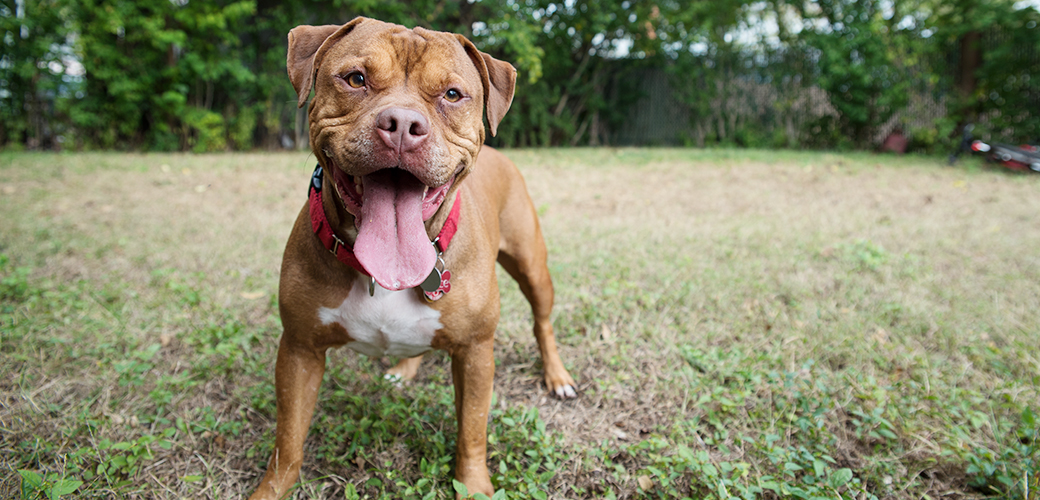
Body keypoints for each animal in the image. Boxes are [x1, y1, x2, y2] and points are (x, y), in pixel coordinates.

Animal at [248, 16, 582, 498]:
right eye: (356, 79)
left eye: (452, 94)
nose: (403, 124)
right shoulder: (299, 349)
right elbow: (288, 441)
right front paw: (272, 488)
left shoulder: (476, 352)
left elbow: (472, 431)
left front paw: (473, 486)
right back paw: (405, 367)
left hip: (532, 267)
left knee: (543, 322)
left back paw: (557, 376)